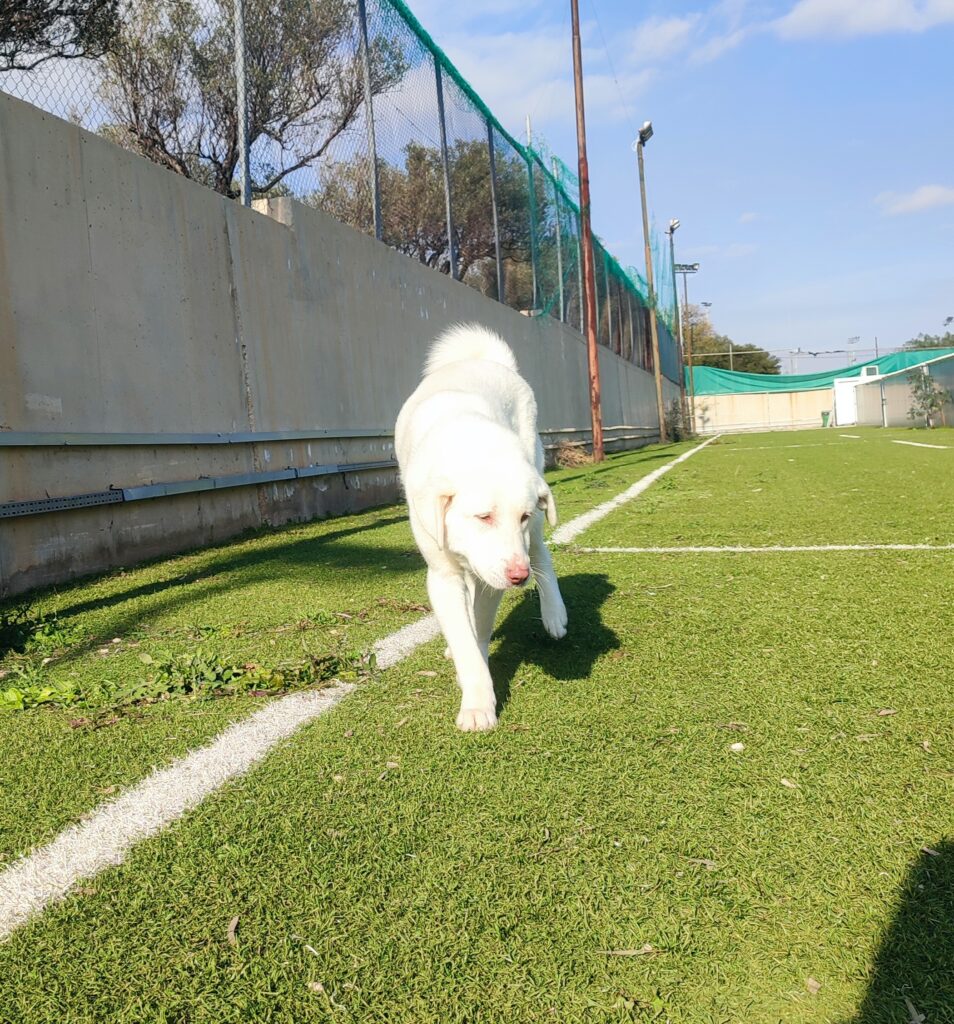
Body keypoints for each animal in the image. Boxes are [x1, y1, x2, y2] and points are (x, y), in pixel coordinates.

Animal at [395, 323, 568, 731]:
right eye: (483, 516)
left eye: (521, 516)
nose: (520, 577)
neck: (470, 442)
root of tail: (483, 361)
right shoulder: (443, 575)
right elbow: (464, 637)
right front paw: (476, 699)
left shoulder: (499, 570)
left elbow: (479, 630)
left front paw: (478, 692)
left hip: (537, 513)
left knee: (542, 553)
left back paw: (554, 613)